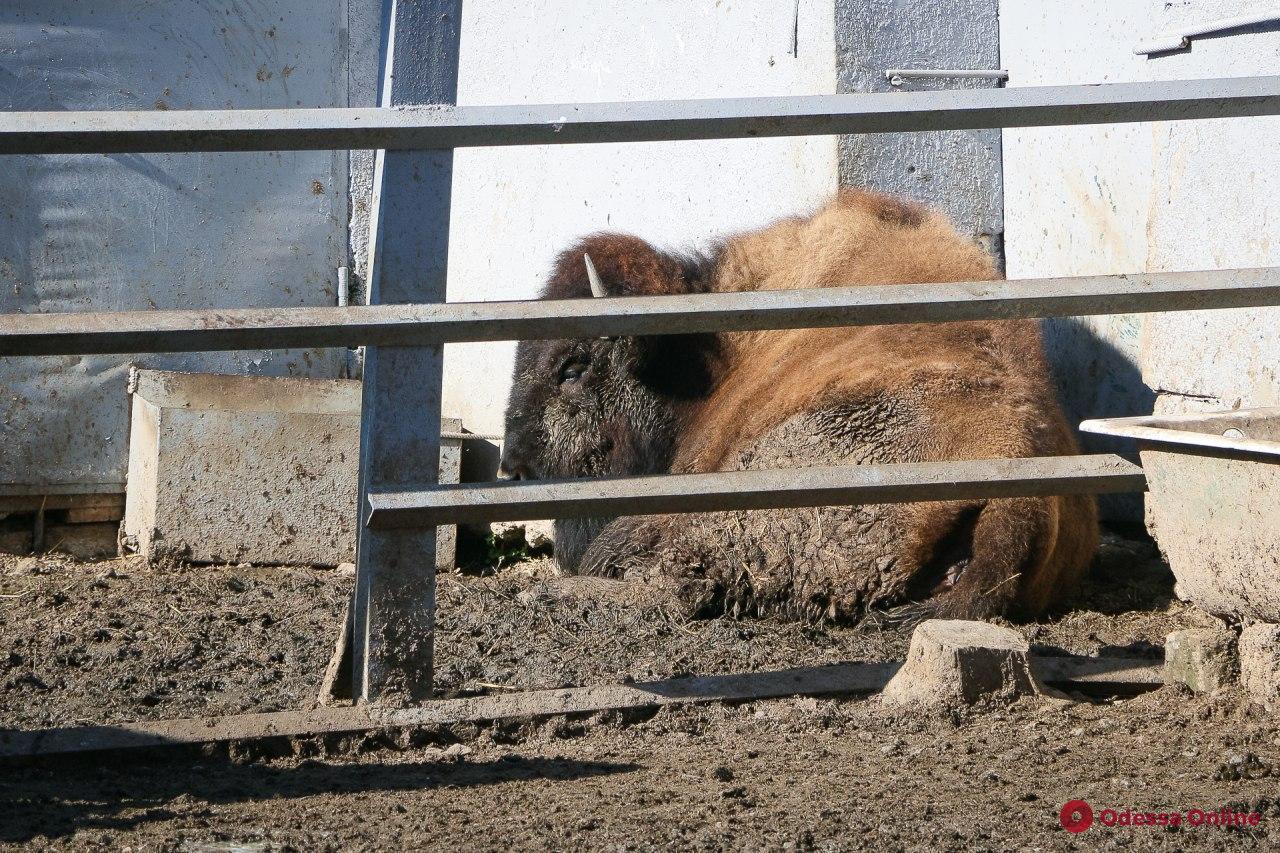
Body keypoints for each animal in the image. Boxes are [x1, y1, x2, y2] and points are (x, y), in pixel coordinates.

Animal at [499, 189, 1100, 622]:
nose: (513, 464)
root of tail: (1021, 489)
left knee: (682, 588)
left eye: (573, 367)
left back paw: (541, 597)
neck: (708, 355)